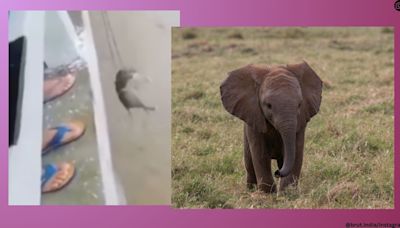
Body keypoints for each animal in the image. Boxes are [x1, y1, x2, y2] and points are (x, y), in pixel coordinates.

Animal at [220, 61, 324, 193]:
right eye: (268, 105)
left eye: (300, 104)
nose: (277, 173)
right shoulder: (254, 119)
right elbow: (260, 154)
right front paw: (268, 193)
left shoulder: (301, 120)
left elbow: (297, 151)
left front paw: (288, 192)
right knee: (249, 163)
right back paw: (250, 190)